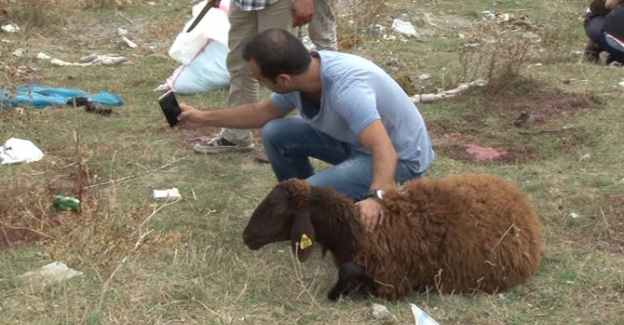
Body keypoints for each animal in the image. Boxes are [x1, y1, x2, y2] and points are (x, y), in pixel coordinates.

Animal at [241, 173, 544, 300]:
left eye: (276, 207)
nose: (247, 236)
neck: (356, 232)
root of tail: (524, 204)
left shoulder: (391, 281)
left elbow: (349, 272)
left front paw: (335, 293)